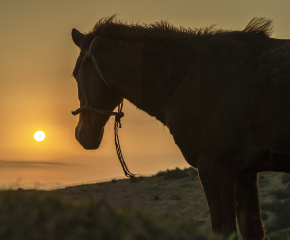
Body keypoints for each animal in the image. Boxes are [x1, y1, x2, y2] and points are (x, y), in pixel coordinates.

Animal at [71, 15, 290, 239]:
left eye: (75, 74)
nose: (81, 134)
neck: (188, 75)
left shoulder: (215, 168)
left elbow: (223, 229)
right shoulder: (245, 174)